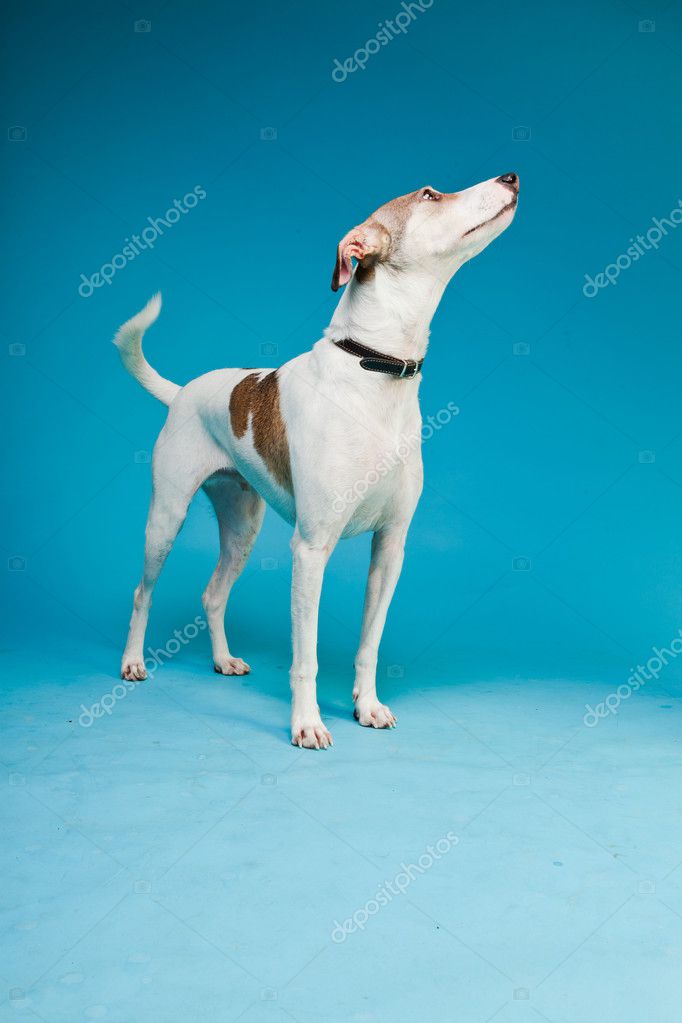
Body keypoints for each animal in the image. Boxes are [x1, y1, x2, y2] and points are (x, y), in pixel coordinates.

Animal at [114, 171, 519, 748]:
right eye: (429, 196)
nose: (510, 176)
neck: (375, 368)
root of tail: (183, 392)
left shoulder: (390, 548)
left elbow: (369, 643)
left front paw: (367, 705)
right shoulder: (310, 550)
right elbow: (305, 654)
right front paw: (307, 723)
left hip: (242, 528)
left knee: (213, 595)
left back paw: (222, 660)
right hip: (165, 520)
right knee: (141, 592)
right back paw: (132, 662)